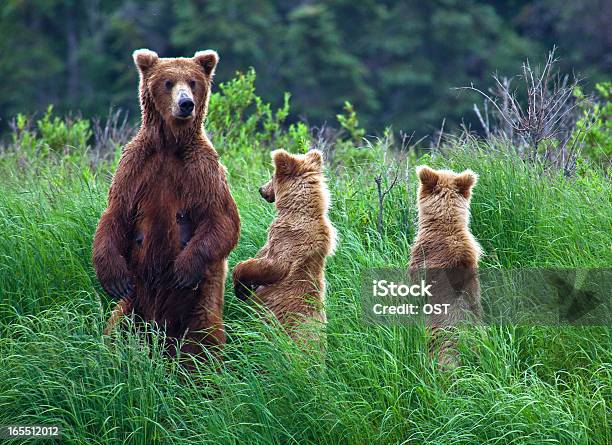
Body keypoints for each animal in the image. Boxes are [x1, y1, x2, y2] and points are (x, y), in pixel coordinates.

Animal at [93, 47, 239, 358]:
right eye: (168, 82)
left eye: (193, 82)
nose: (186, 104)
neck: (170, 145)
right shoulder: (135, 166)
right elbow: (115, 215)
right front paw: (113, 277)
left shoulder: (202, 170)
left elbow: (221, 219)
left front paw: (184, 268)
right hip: (134, 303)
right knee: (116, 329)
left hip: (199, 306)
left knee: (203, 341)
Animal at [232, 150, 334, 340]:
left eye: (272, 176)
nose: (261, 189)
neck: (297, 210)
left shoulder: (288, 239)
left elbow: (272, 265)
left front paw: (240, 285)